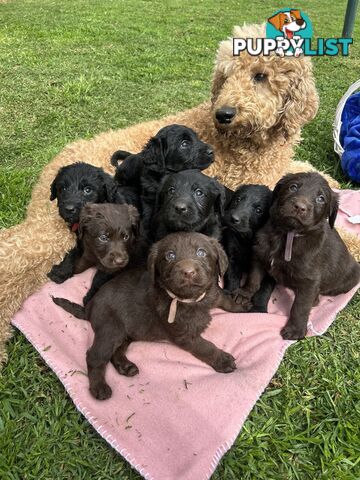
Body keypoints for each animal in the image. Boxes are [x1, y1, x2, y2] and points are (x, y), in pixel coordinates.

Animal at [53, 232, 252, 402]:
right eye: (170, 255)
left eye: (201, 252)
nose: (188, 272)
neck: (191, 299)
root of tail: (90, 306)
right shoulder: (185, 335)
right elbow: (206, 347)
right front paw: (223, 360)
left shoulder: (213, 293)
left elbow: (225, 300)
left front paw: (242, 305)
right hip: (110, 329)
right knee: (94, 356)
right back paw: (99, 387)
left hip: (127, 332)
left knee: (116, 351)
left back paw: (125, 366)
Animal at [221, 184, 274, 312]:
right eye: (237, 200)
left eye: (258, 210)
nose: (234, 218)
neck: (247, 240)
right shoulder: (232, 256)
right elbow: (232, 276)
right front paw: (230, 296)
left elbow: (264, 289)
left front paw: (259, 308)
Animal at [236, 172, 360, 342]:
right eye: (293, 187)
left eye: (321, 198)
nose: (300, 207)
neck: (288, 235)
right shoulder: (259, 255)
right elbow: (253, 279)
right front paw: (244, 294)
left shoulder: (309, 281)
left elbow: (300, 306)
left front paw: (295, 329)